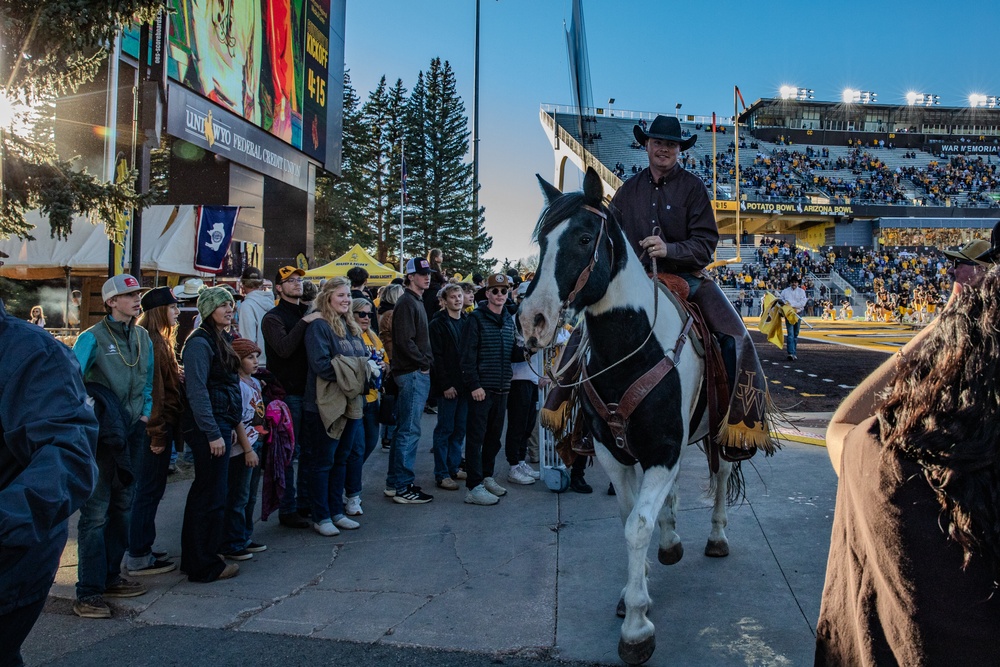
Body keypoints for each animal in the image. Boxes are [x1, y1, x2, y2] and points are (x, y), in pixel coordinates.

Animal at [524, 170, 736, 664]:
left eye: (585, 238)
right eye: (542, 241)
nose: (532, 319)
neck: (632, 348)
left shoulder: (663, 449)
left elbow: (637, 526)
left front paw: (637, 626)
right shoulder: (613, 451)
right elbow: (629, 514)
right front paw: (634, 589)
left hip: (720, 429)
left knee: (721, 476)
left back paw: (716, 537)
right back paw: (671, 540)